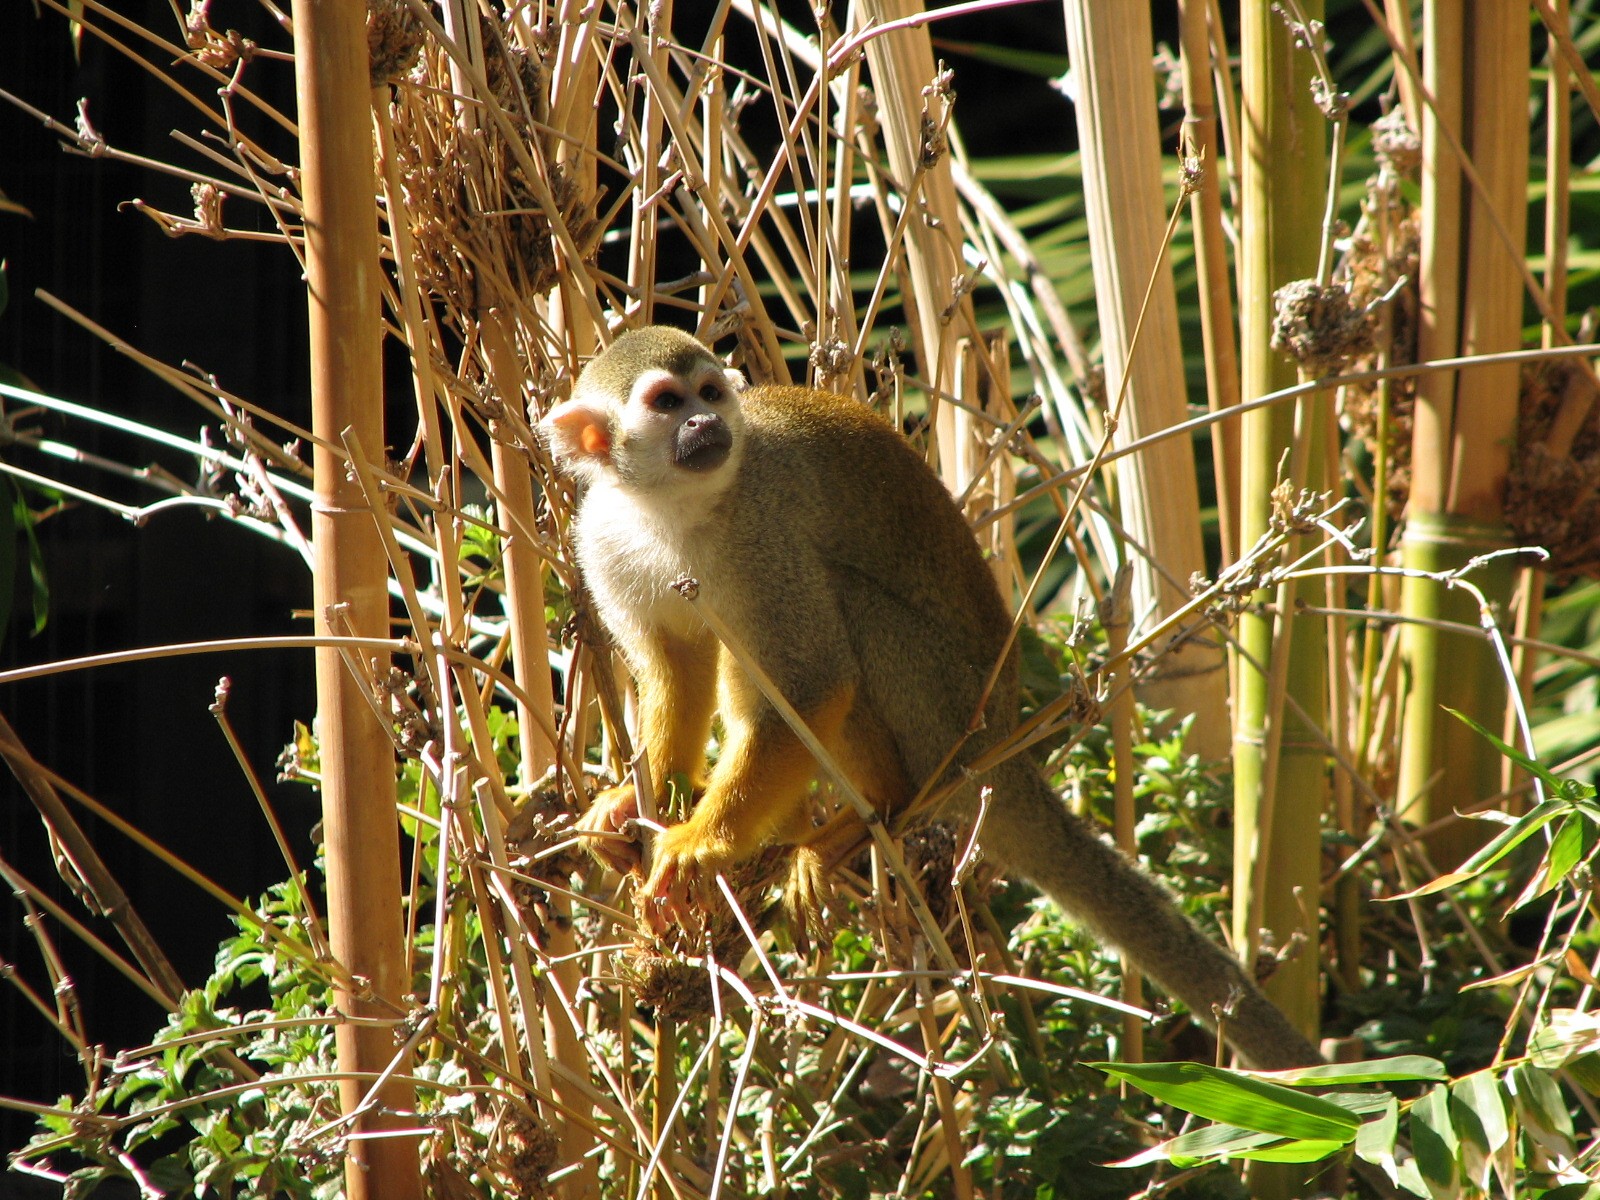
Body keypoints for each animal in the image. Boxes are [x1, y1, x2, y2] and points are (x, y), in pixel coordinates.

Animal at [539, 325, 1320, 1070]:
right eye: (667, 402)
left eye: (709, 393)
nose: (706, 424)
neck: (669, 509)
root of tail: (1003, 751)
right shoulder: (601, 537)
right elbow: (675, 670)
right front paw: (636, 798)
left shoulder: (764, 537)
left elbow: (816, 680)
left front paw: (702, 842)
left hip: (945, 711)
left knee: (842, 610)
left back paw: (872, 809)